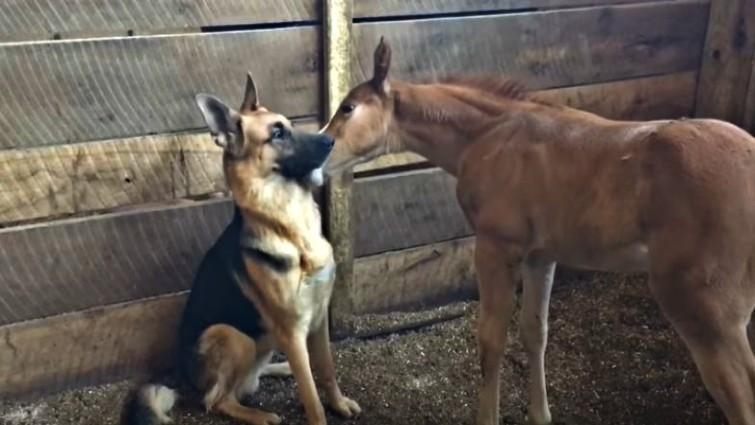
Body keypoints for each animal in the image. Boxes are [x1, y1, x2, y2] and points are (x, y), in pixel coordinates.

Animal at [124, 74, 360, 424]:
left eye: (290, 125)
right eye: (277, 134)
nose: (331, 141)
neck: (291, 226)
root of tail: (183, 380)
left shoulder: (318, 321)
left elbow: (326, 371)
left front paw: (339, 403)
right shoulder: (293, 330)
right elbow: (311, 397)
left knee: (255, 378)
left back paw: (280, 367)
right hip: (233, 336)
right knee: (217, 399)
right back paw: (259, 414)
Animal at [326, 37, 755, 424]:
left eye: (347, 107)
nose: (317, 153)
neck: (489, 135)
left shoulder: (495, 246)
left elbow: (491, 338)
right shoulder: (540, 255)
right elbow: (535, 332)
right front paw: (540, 414)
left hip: (705, 309)